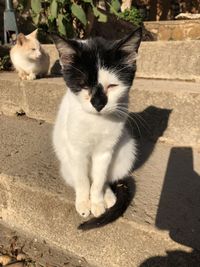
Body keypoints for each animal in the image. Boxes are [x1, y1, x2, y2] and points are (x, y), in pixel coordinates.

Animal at [51, 28, 142, 230]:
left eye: (113, 86)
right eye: (83, 85)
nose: (98, 104)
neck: (96, 121)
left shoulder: (105, 151)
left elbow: (99, 179)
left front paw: (97, 202)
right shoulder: (76, 150)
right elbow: (83, 179)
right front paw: (84, 203)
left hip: (126, 150)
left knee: (105, 178)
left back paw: (108, 196)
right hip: (65, 165)